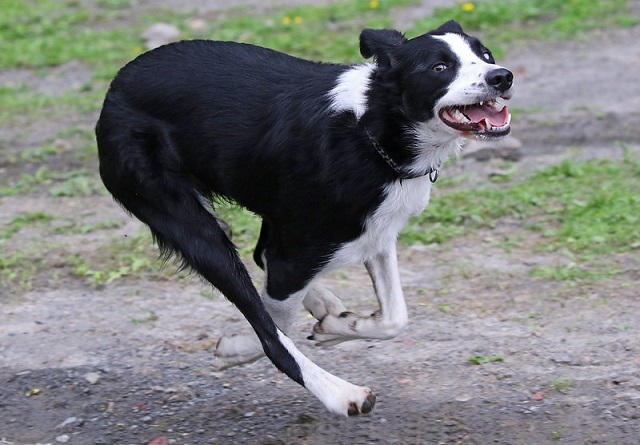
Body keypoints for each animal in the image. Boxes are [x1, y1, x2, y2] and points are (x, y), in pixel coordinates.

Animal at [96, 20, 516, 414]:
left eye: (486, 55)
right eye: (439, 67)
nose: (502, 77)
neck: (372, 130)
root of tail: (116, 84)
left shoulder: (375, 232)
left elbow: (396, 316)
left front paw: (338, 326)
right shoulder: (295, 254)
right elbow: (275, 324)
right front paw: (237, 348)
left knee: (260, 256)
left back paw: (323, 304)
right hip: (194, 228)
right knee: (268, 322)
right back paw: (340, 393)